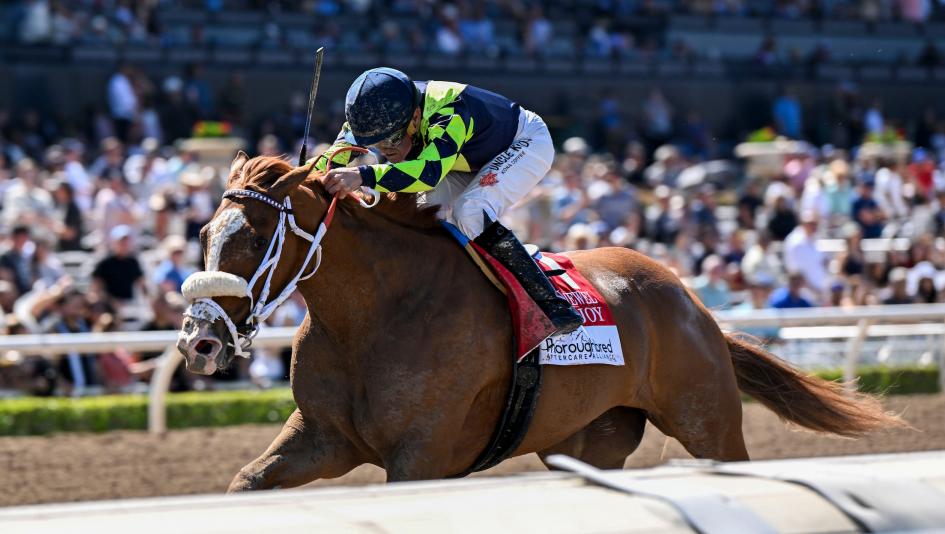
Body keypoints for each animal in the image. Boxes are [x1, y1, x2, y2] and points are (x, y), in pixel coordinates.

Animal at [176, 153, 902, 491]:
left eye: (254, 237)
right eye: (206, 233)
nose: (199, 341)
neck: (370, 317)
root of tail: (692, 303)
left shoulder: (422, 456)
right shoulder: (323, 438)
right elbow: (246, 483)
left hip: (707, 420)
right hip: (587, 440)